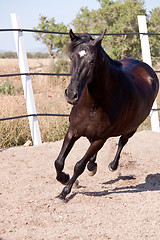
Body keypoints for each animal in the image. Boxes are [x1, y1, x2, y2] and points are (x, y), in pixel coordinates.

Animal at [54, 29, 159, 200]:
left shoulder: (101, 138)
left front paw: (65, 192)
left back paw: (111, 165)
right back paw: (92, 165)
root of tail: (147, 69)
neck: (93, 104)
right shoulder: (73, 131)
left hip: (132, 128)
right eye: (71, 57)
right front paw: (63, 178)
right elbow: (59, 162)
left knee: (122, 142)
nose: (71, 94)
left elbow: (79, 166)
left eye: (92, 61)